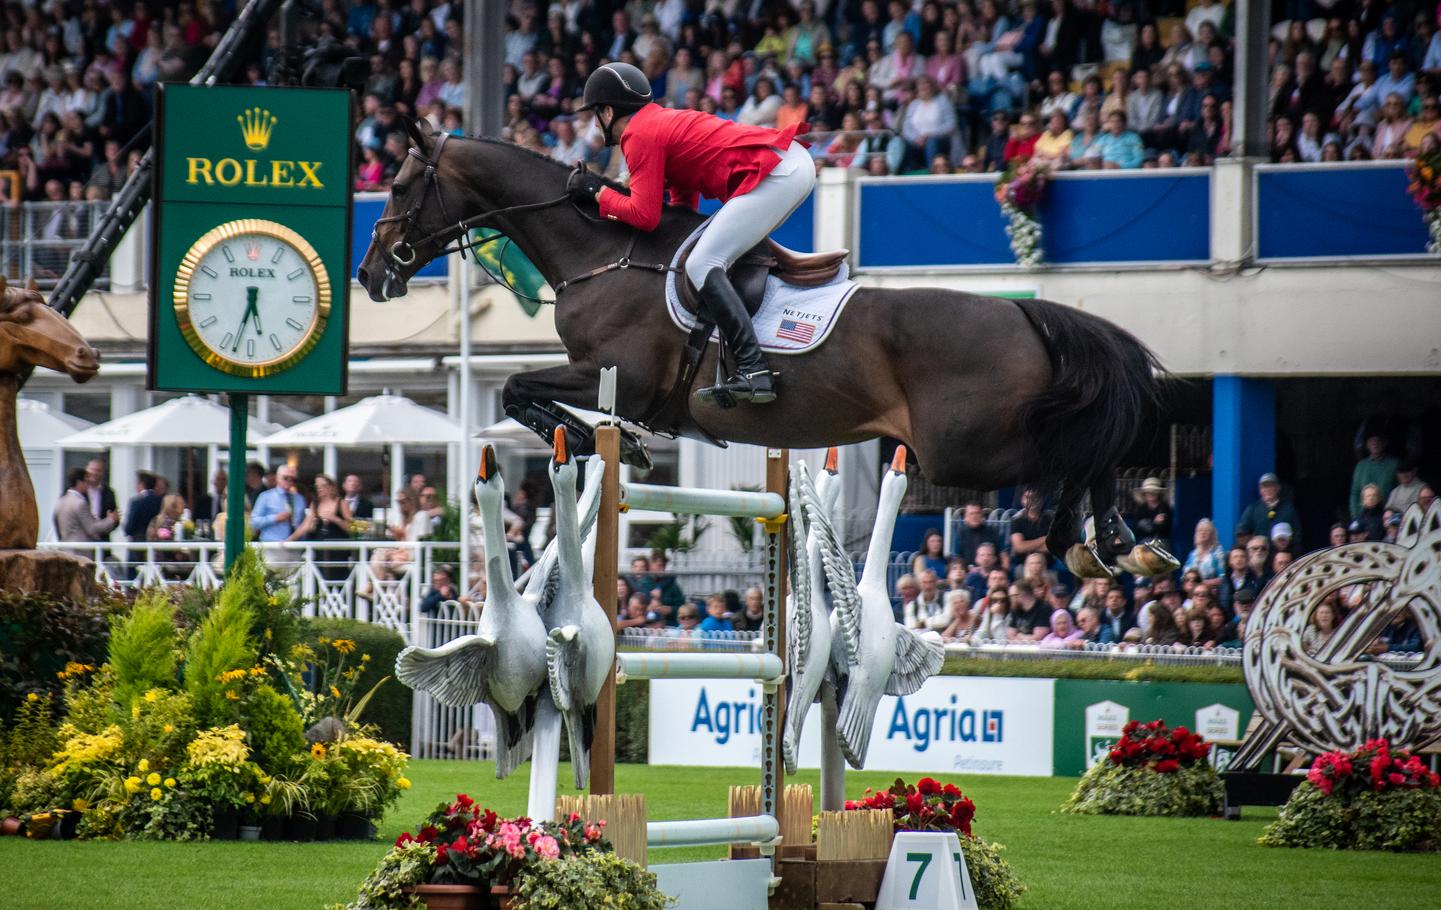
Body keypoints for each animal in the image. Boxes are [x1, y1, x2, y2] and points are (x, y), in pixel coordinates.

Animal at [357, 125, 1170, 575]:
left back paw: (1089, 538)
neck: (602, 255)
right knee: (1090, 451)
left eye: (398, 183)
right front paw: (616, 445)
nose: (370, 274)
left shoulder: (617, 376)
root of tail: (1027, 314)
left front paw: (609, 444)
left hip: (963, 450)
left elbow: (516, 388)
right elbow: (520, 391)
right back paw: (1115, 542)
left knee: (1079, 451)